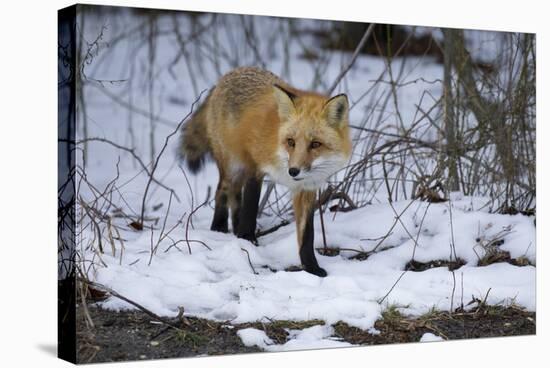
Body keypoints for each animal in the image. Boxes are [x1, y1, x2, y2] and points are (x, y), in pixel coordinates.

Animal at [181, 68, 354, 276]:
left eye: (315, 144)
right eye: (291, 142)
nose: (293, 171)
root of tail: (229, 74)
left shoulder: (306, 189)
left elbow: (307, 236)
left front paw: (311, 268)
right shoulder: (255, 168)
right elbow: (250, 208)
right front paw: (246, 241)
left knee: (235, 198)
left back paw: (234, 227)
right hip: (232, 165)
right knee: (222, 191)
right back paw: (219, 228)